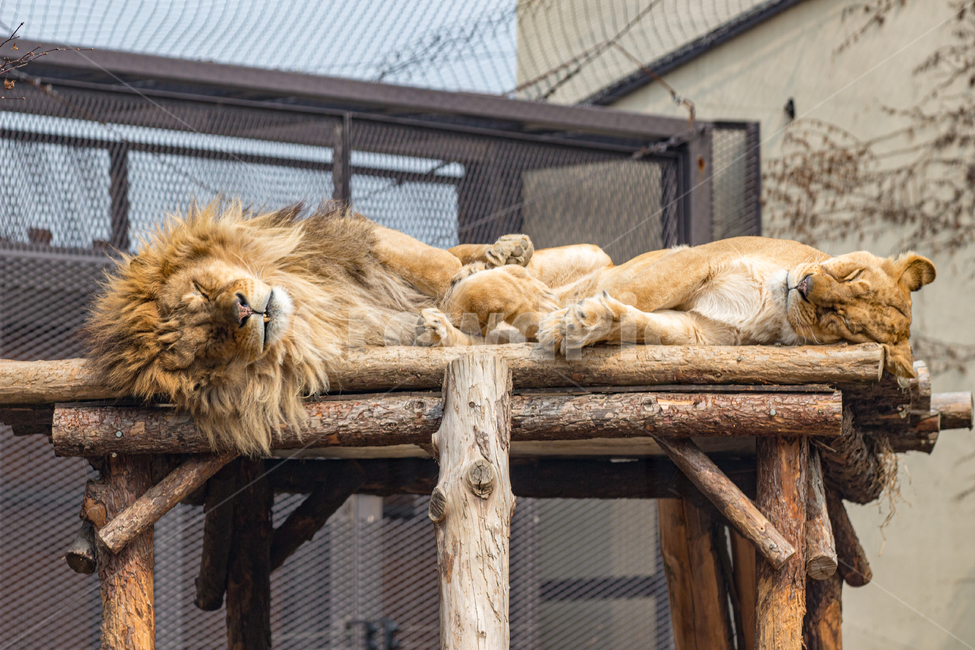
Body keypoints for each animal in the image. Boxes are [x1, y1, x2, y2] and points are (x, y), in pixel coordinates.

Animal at [83, 201, 556, 454]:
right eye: (204, 348)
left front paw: (512, 283)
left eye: (198, 290)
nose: (241, 312)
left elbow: (439, 267)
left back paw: (509, 250)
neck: (310, 308)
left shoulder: (363, 242)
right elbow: (460, 305)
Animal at [419, 236, 935, 379]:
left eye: (841, 320)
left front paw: (579, 324)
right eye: (851, 274)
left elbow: (640, 319)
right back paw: (495, 265)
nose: (805, 288)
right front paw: (548, 311)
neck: (773, 308)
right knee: (461, 259)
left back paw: (441, 330)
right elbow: (636, 288)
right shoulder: (696, 259)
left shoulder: (699, 333)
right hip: (593, 250)